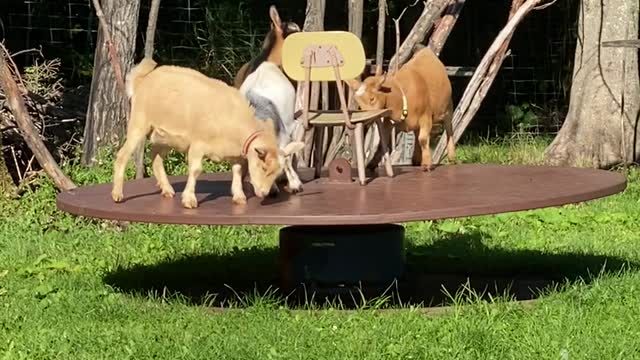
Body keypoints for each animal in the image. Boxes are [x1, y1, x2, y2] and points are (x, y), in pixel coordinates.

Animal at [111, 58, 304, 210]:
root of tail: (143, 79)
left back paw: (167, 190)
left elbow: (237, 170)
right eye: (263, 167)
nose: (264, 193)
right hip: (139, 124)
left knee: (155, 156)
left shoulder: (236, 153)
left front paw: (239, 197)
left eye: (278, 172)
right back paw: (117, 194)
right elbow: (196, 170)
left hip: (164, 136)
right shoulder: (198, 144)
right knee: (123, 155)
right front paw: (189, 200)